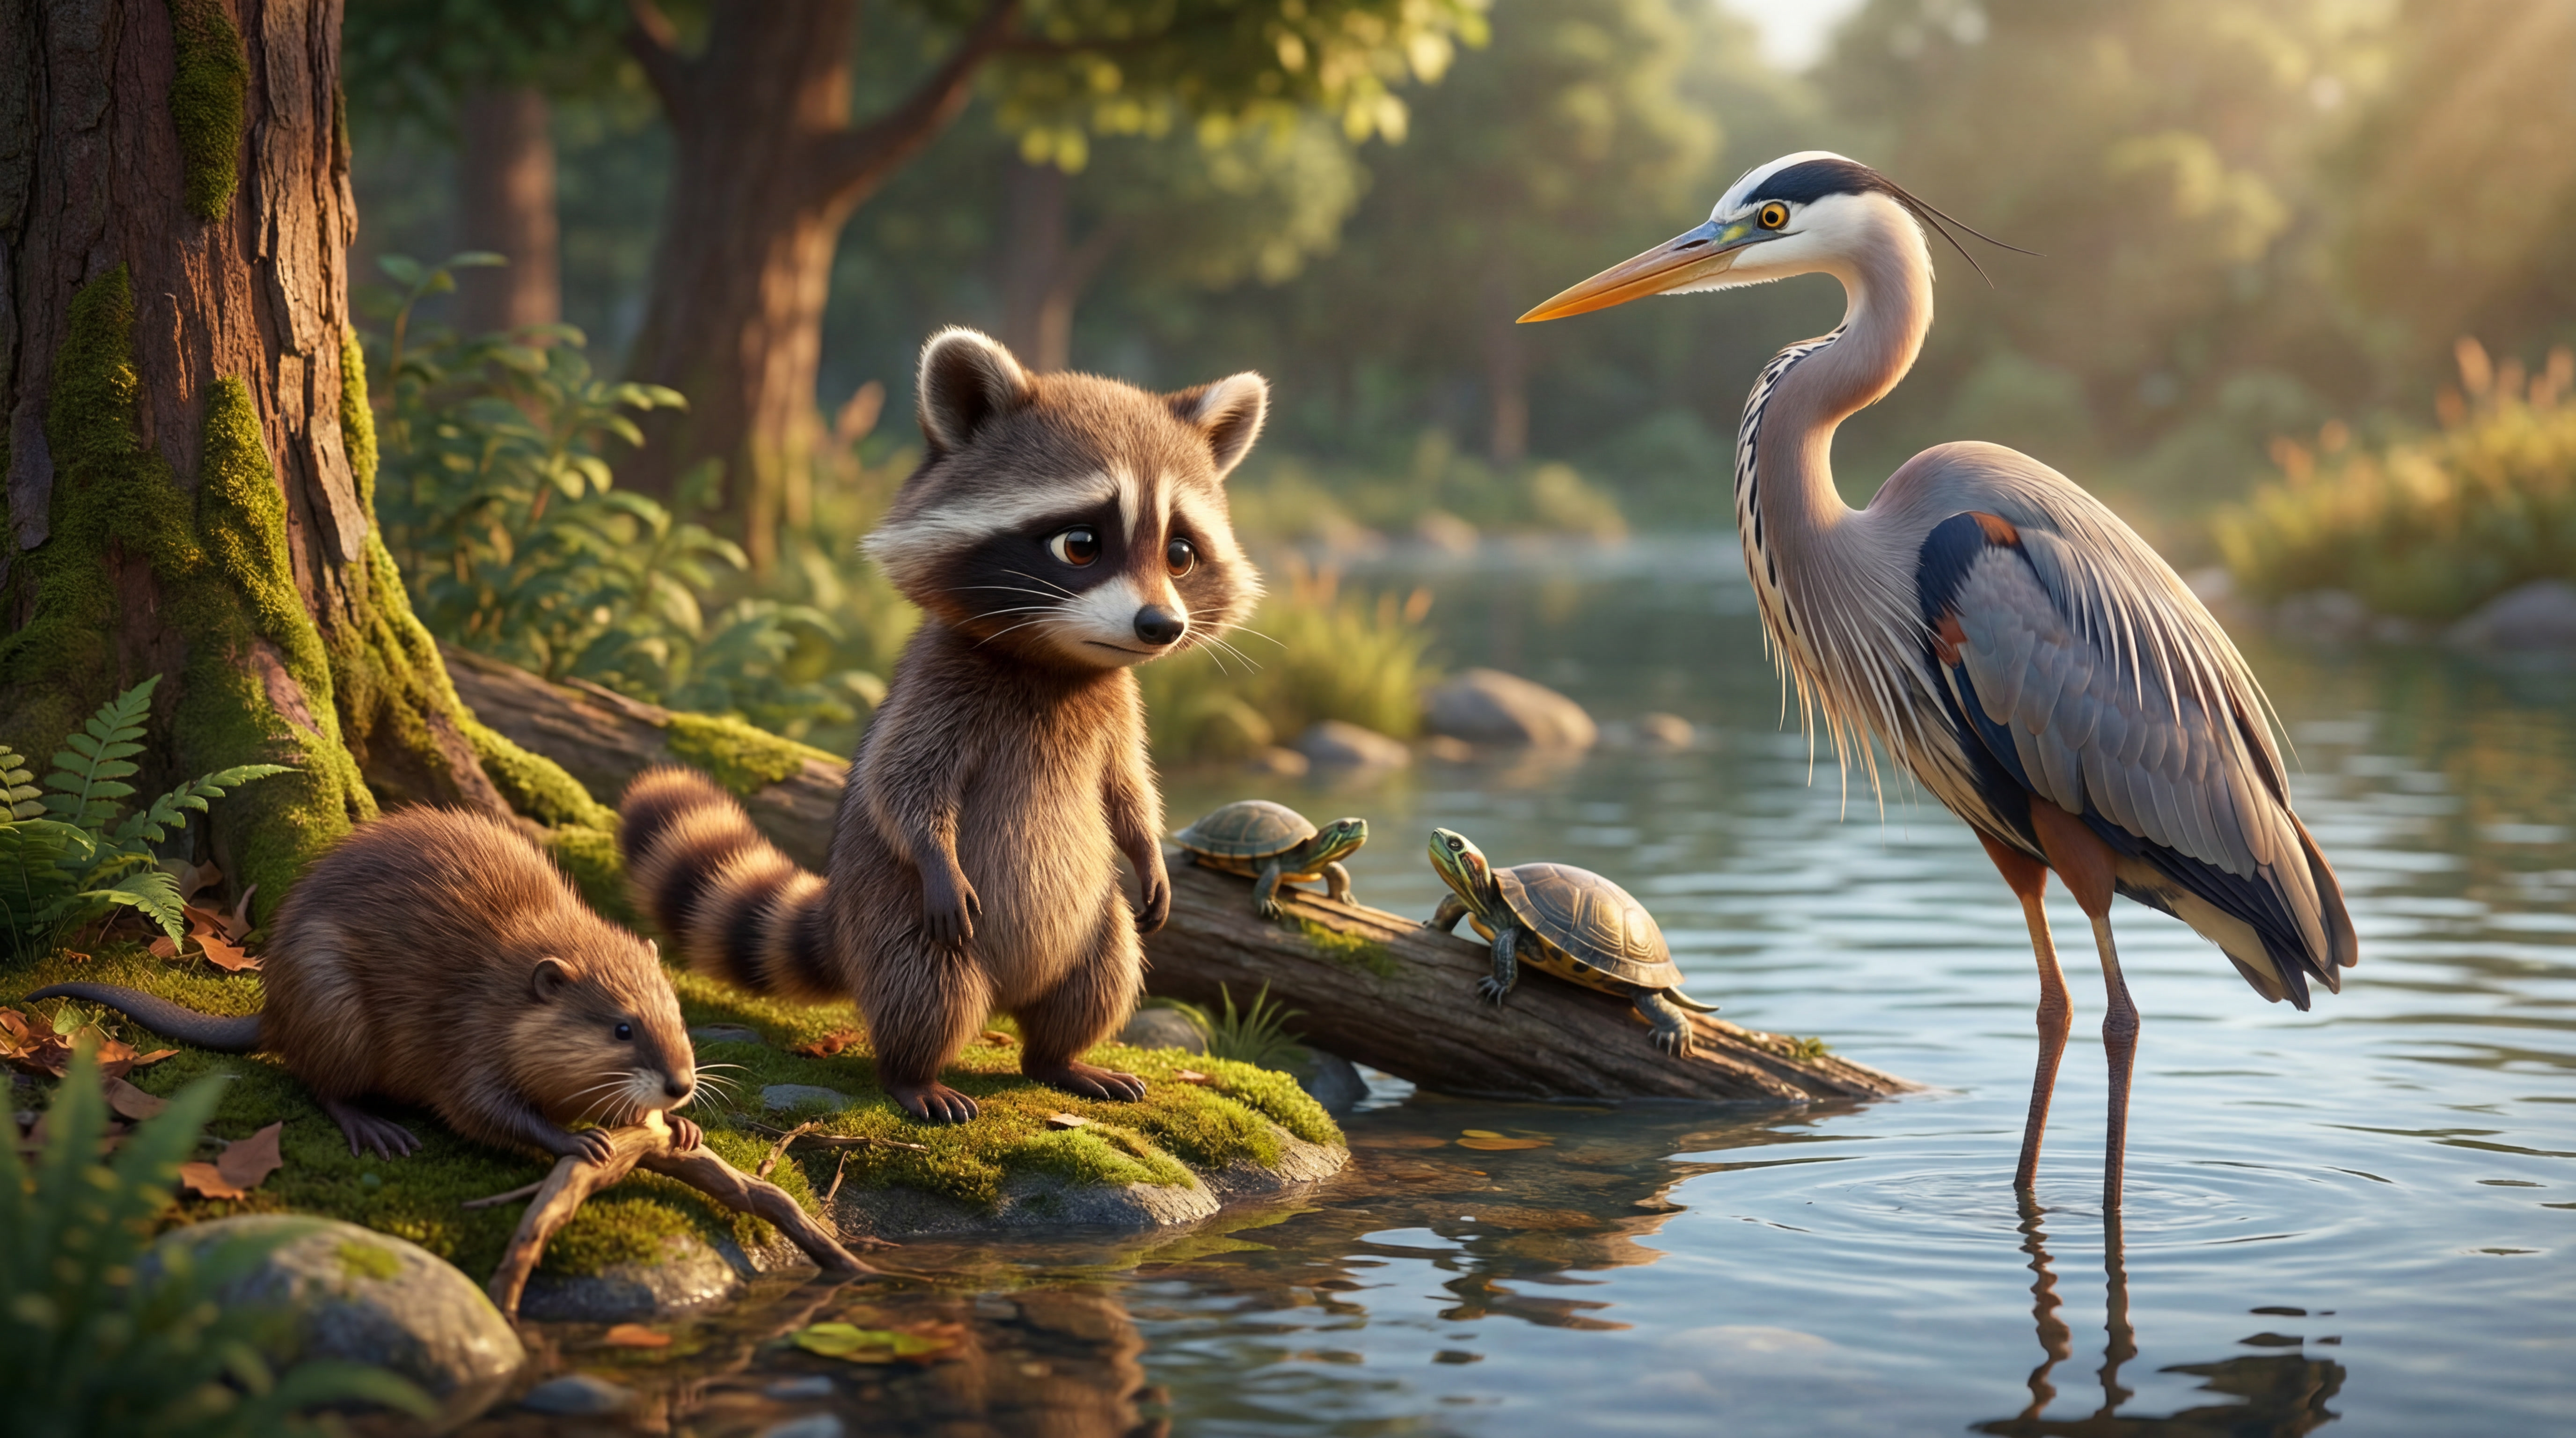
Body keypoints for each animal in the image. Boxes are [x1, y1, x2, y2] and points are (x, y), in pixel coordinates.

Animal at [623, 328, 1264, 1123]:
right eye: (1080, 544)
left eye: (1180, 554)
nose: (1160, 627)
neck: (1055, 661)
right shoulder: (939, 687)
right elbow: (903, 783)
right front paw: (935, 851)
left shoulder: (1119, 705)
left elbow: (1127, 787)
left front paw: (1148, 850)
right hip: (899, 917)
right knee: (926, 986)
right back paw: (912, 1072)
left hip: (1093, 922)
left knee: (1102, 974)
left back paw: (1061, 1058)